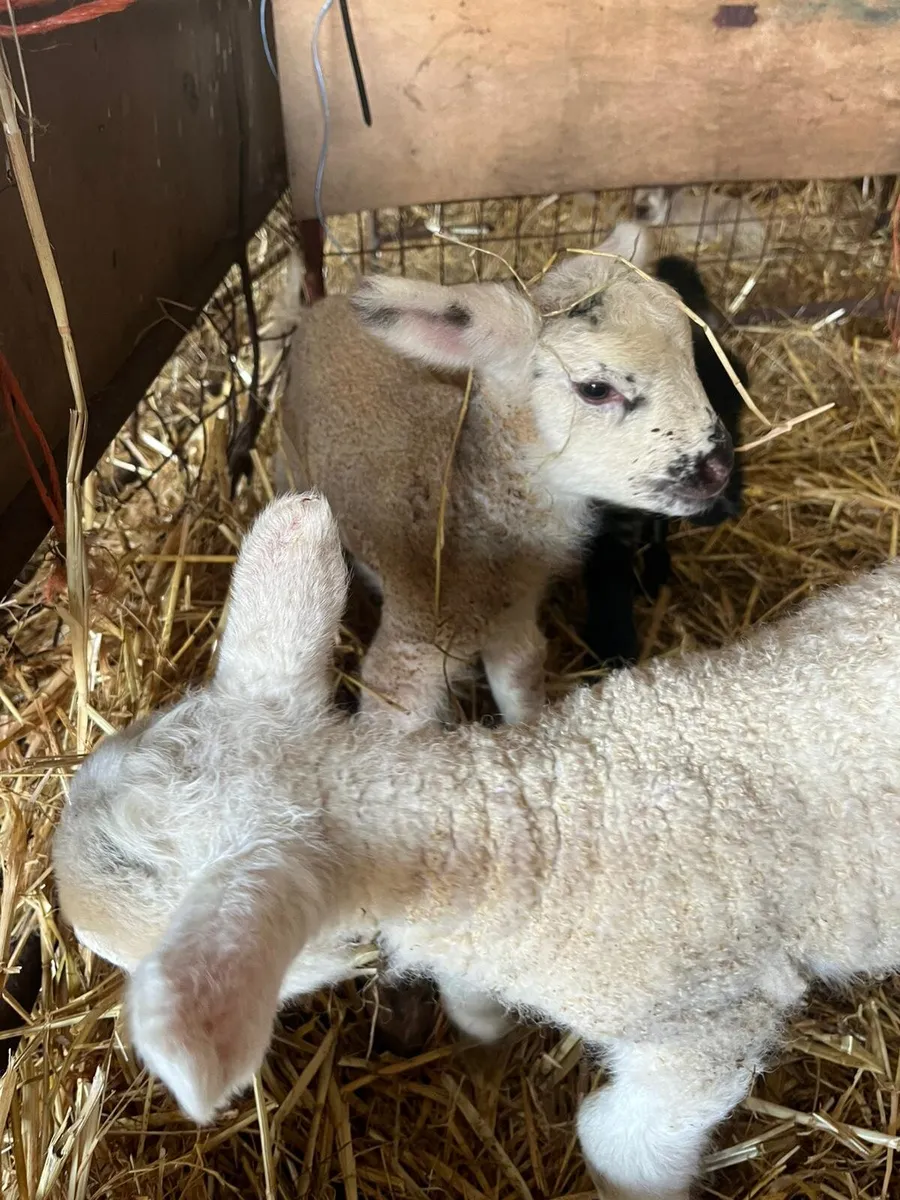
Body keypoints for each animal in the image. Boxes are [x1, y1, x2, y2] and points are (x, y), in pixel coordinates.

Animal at [54, 492, 900, 1200]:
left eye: (133, 943)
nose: (73, 922)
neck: (538, 823)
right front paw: (484, 1037)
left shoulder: (710, 1023)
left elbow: (619, 1139)